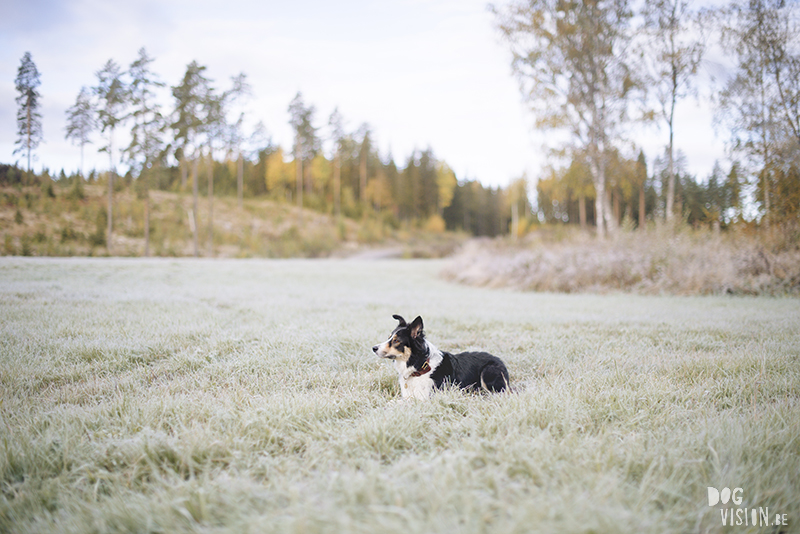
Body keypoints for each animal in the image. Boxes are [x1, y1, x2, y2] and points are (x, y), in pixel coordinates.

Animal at [372, 316, 510, 400]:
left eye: (396, 341)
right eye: (389, 337)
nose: (374, 348)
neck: (420, 366)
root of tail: (499, 359)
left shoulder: (427, 397)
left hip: (488, 372)